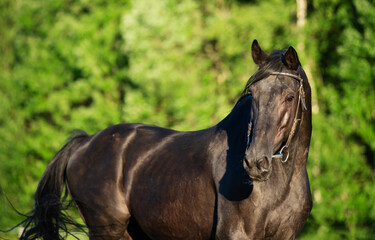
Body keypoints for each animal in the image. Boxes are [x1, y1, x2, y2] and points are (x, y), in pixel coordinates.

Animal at [19, 40, 312, 239]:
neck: (280, 184)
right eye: (253, 93)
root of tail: (85, 142)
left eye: (289, 96)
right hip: (108, 230)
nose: (254, 163)